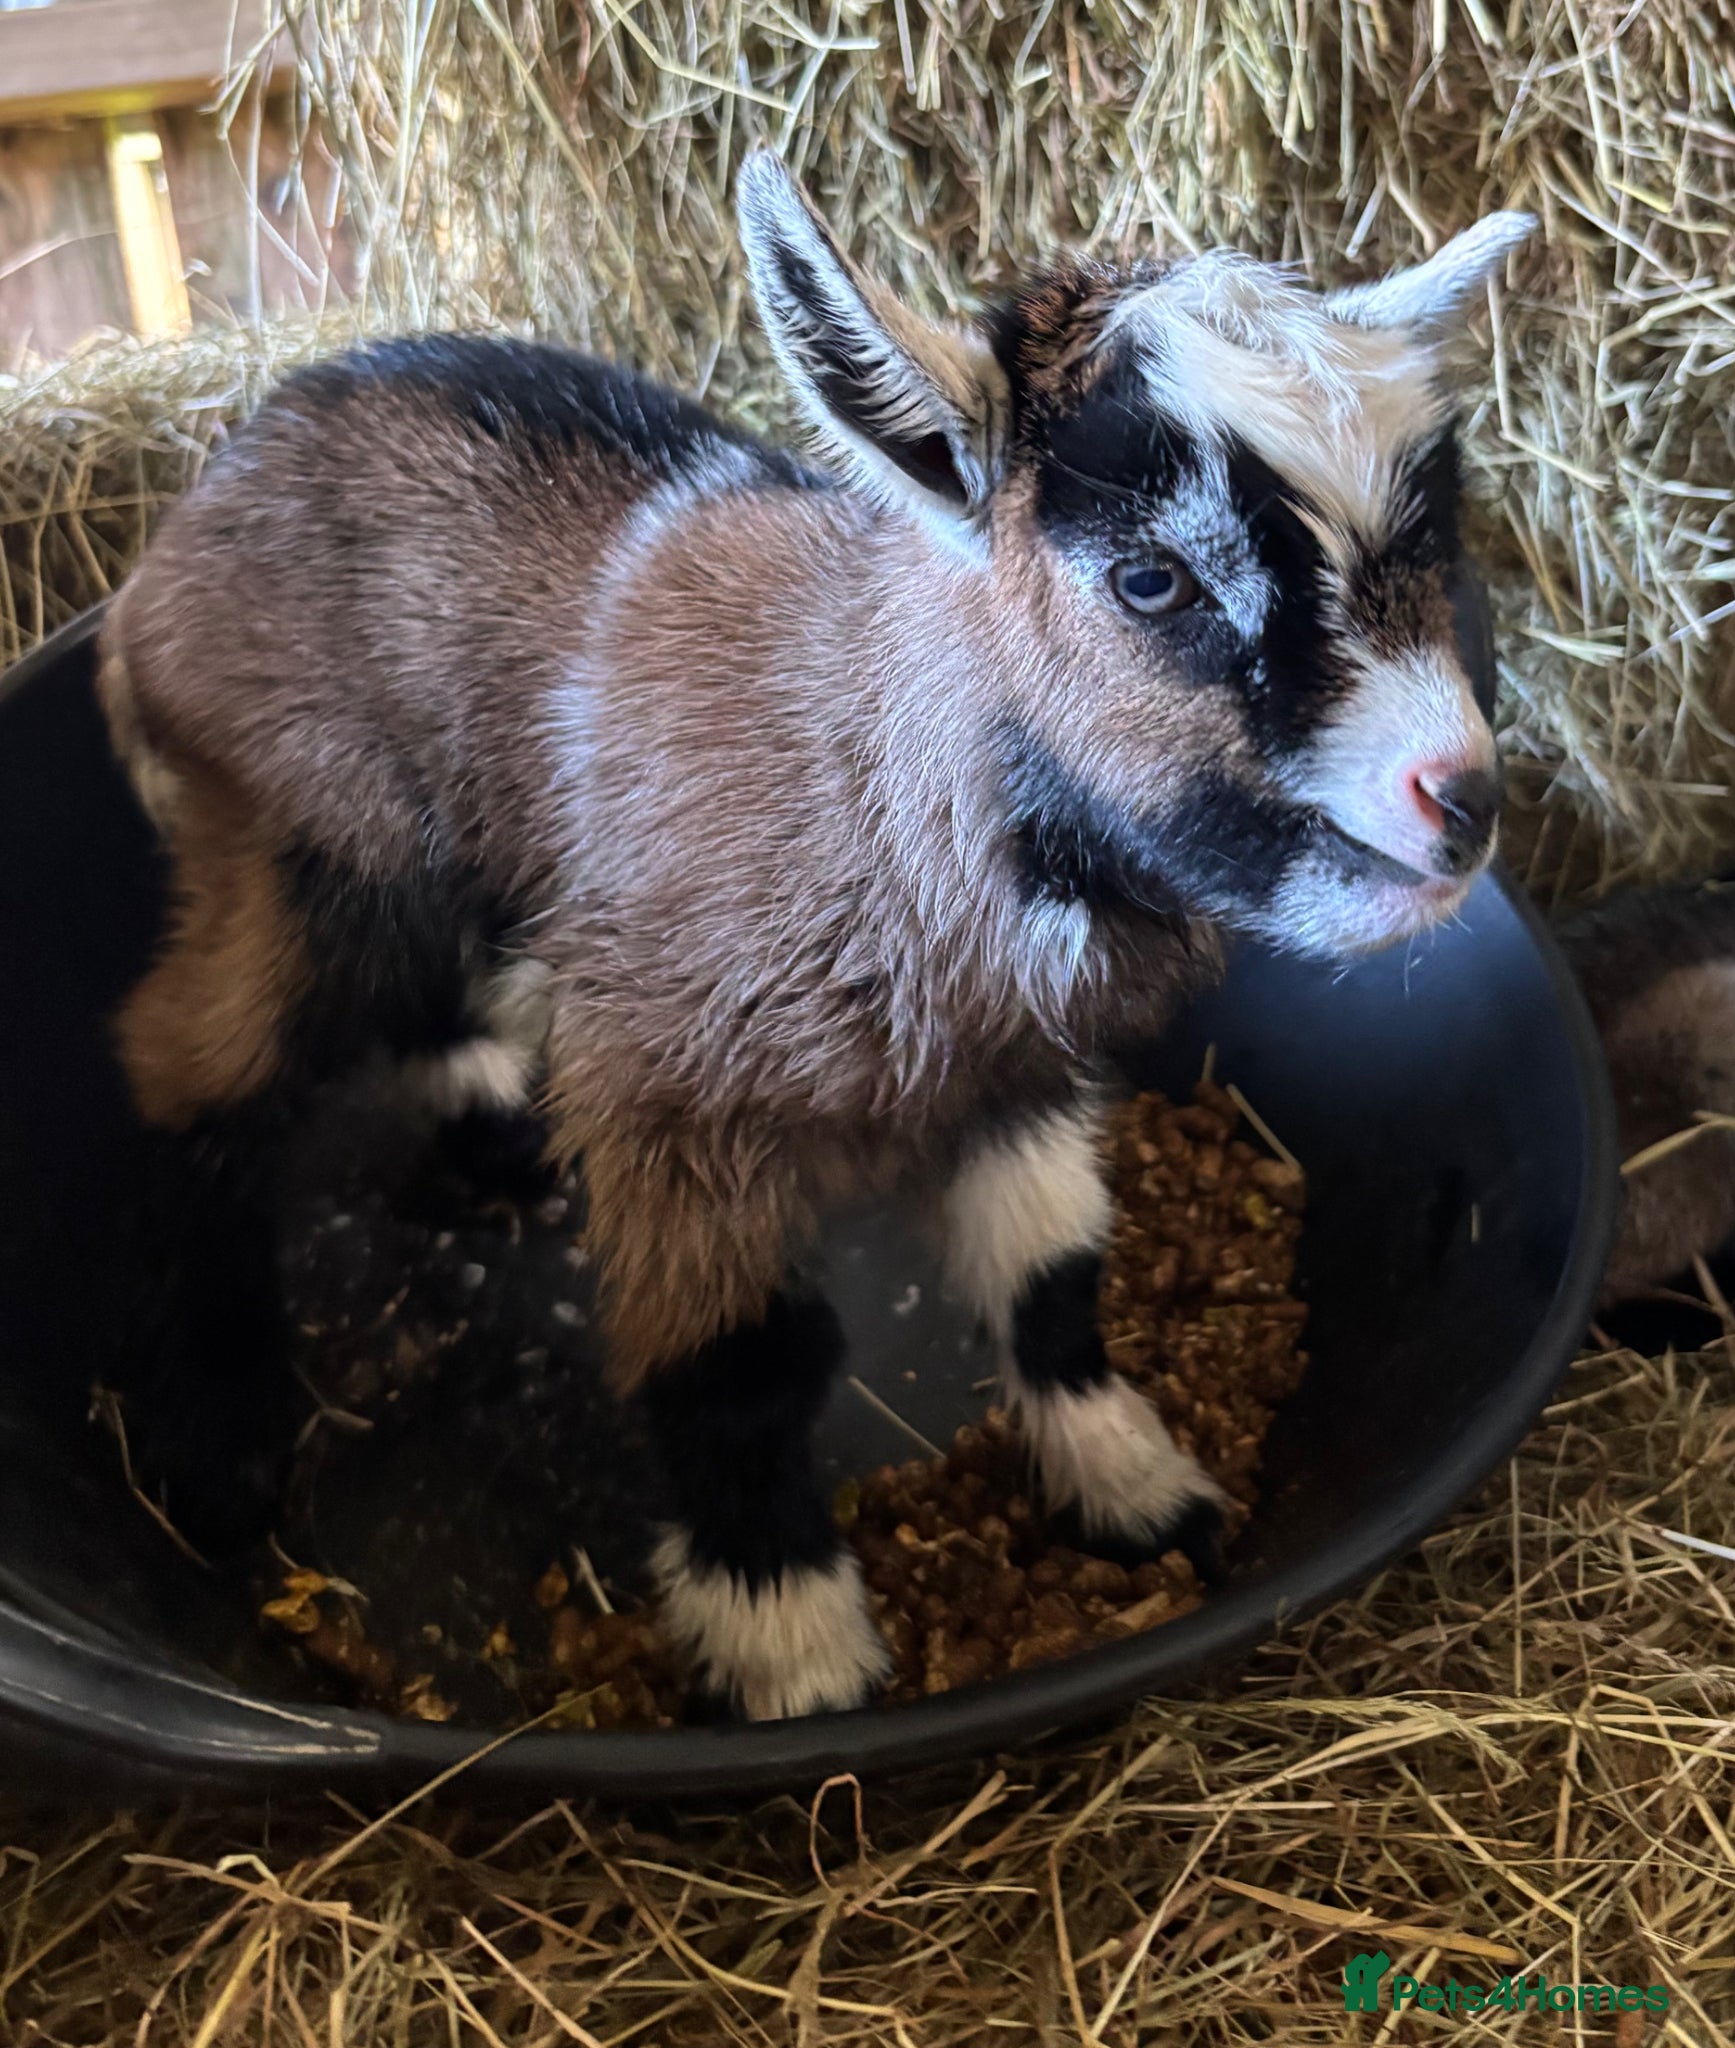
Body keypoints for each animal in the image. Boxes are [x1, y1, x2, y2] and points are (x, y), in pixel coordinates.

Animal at [98, 152, 1532, 1719]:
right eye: (1152, 580)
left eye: (1433, 535)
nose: (1459, 801)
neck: (883, 781)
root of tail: (192, 517)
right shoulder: (677, 1101)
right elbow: (742, 1367)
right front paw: (792, 1651)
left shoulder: (1009, 1071)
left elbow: (1050, 1277)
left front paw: (1136, 1488)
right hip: (285, 840)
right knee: (186, 1066)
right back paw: (219, 1447)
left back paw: (492, 1132)